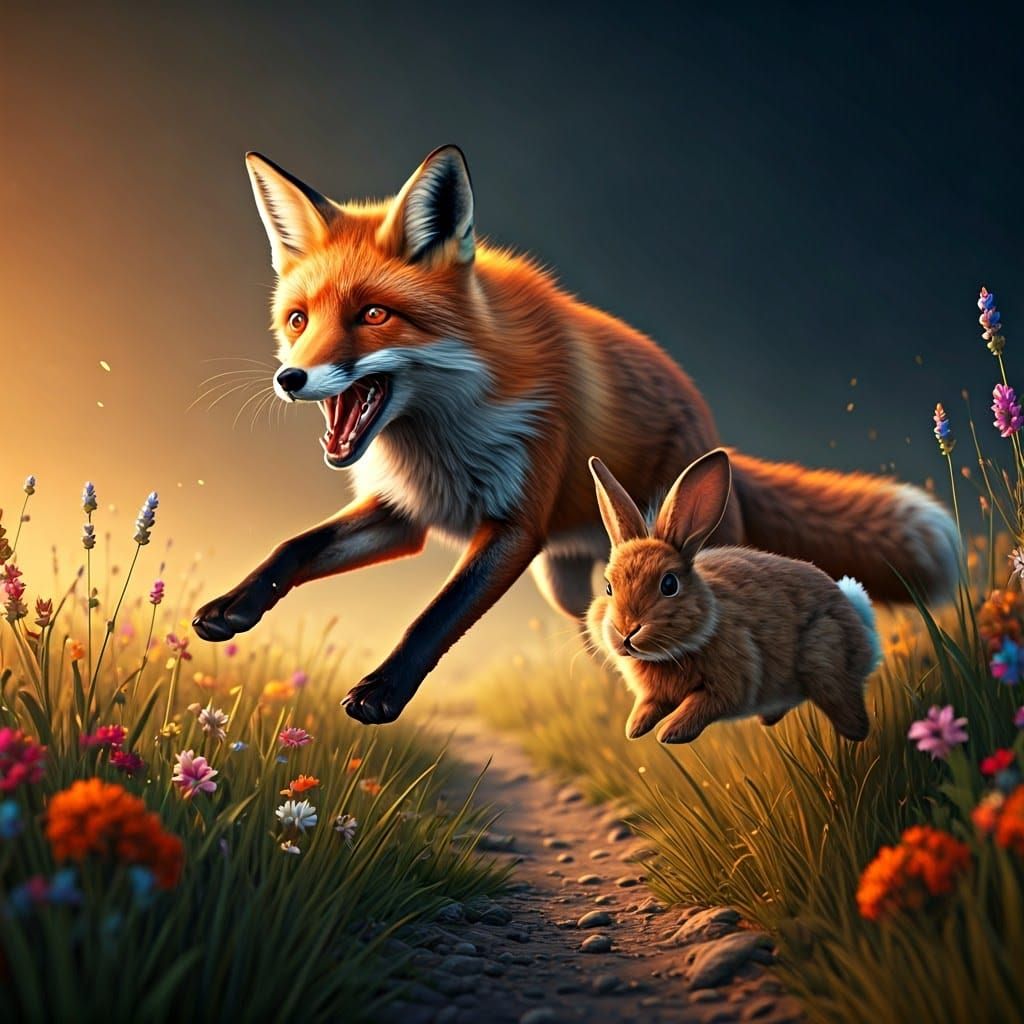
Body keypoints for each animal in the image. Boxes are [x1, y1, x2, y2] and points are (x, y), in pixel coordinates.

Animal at [585, 448, 882, 744]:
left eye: (669, 584)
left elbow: (700, 705)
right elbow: (649, 704)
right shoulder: (655, 695)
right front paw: (634, 728)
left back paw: (854, 736)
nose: (626, 632)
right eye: (608, 587)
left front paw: (669, 732)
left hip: (823, 660)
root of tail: (859, 618)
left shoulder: (731, 682)